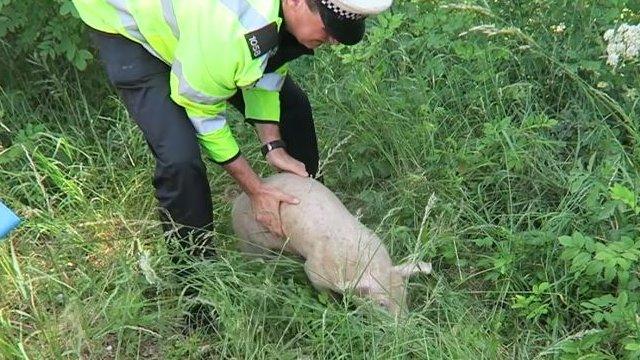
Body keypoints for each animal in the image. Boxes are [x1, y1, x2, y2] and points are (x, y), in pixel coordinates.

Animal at [230, 173, 430, 316]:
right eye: (381, 304)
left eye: (405, 295)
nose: (404, 327)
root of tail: (239, 199)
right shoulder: (314, 271)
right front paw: (334, 307)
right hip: (248, 240)